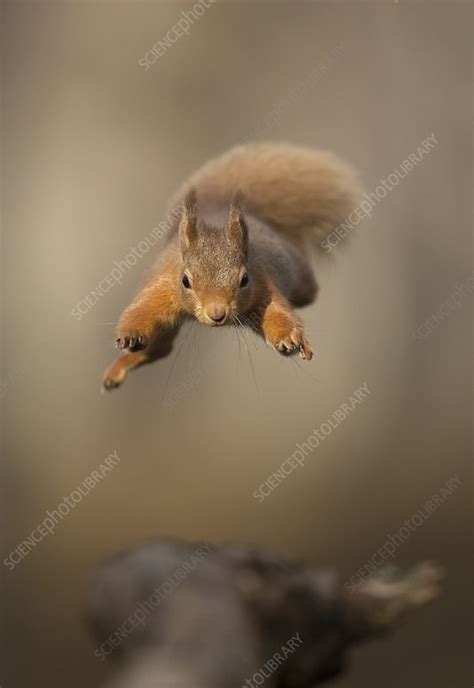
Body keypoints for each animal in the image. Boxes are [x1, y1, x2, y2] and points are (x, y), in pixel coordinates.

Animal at [103, 142, 360, 390]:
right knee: (159, 349)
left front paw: (290, 338)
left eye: (244, 280)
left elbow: (279, 314)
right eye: (185, 280)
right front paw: (130, 335)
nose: (217, 314)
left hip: (300, 277)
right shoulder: (164, 285)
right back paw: (119, 368)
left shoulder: (263, 286)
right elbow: (141, 310)